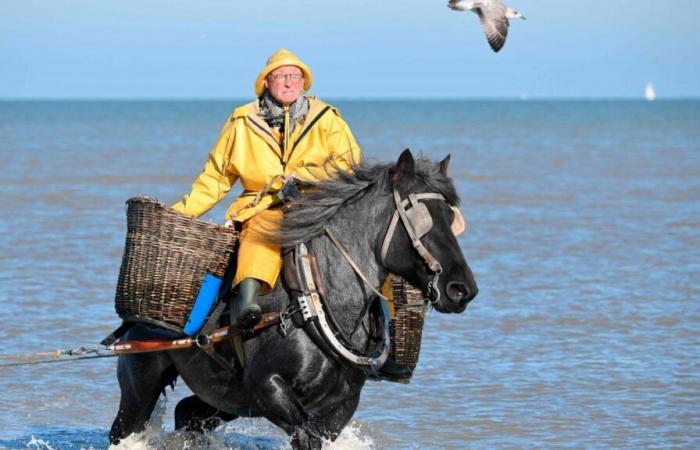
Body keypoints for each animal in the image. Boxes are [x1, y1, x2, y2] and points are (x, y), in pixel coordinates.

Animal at [109, 150, 478, 446]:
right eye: (419, 218)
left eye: (450, 217)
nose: (462, 289)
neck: (314, 301)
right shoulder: (267, 387)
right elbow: (303, 433)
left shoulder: (340, 405)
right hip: (141, 382)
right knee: (125, 427)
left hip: (224, 396)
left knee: (187, 413)